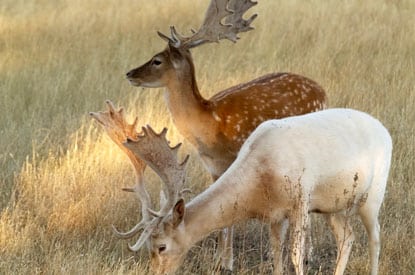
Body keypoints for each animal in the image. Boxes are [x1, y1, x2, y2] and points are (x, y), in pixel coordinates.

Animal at [125, 0, 326, 270]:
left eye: (157, 60)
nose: (130, 73)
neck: (208, 124)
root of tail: (323, 92)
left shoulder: (233, 160)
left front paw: (227, 262)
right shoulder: (212, 167)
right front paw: (221, 258)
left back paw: (309, 253)